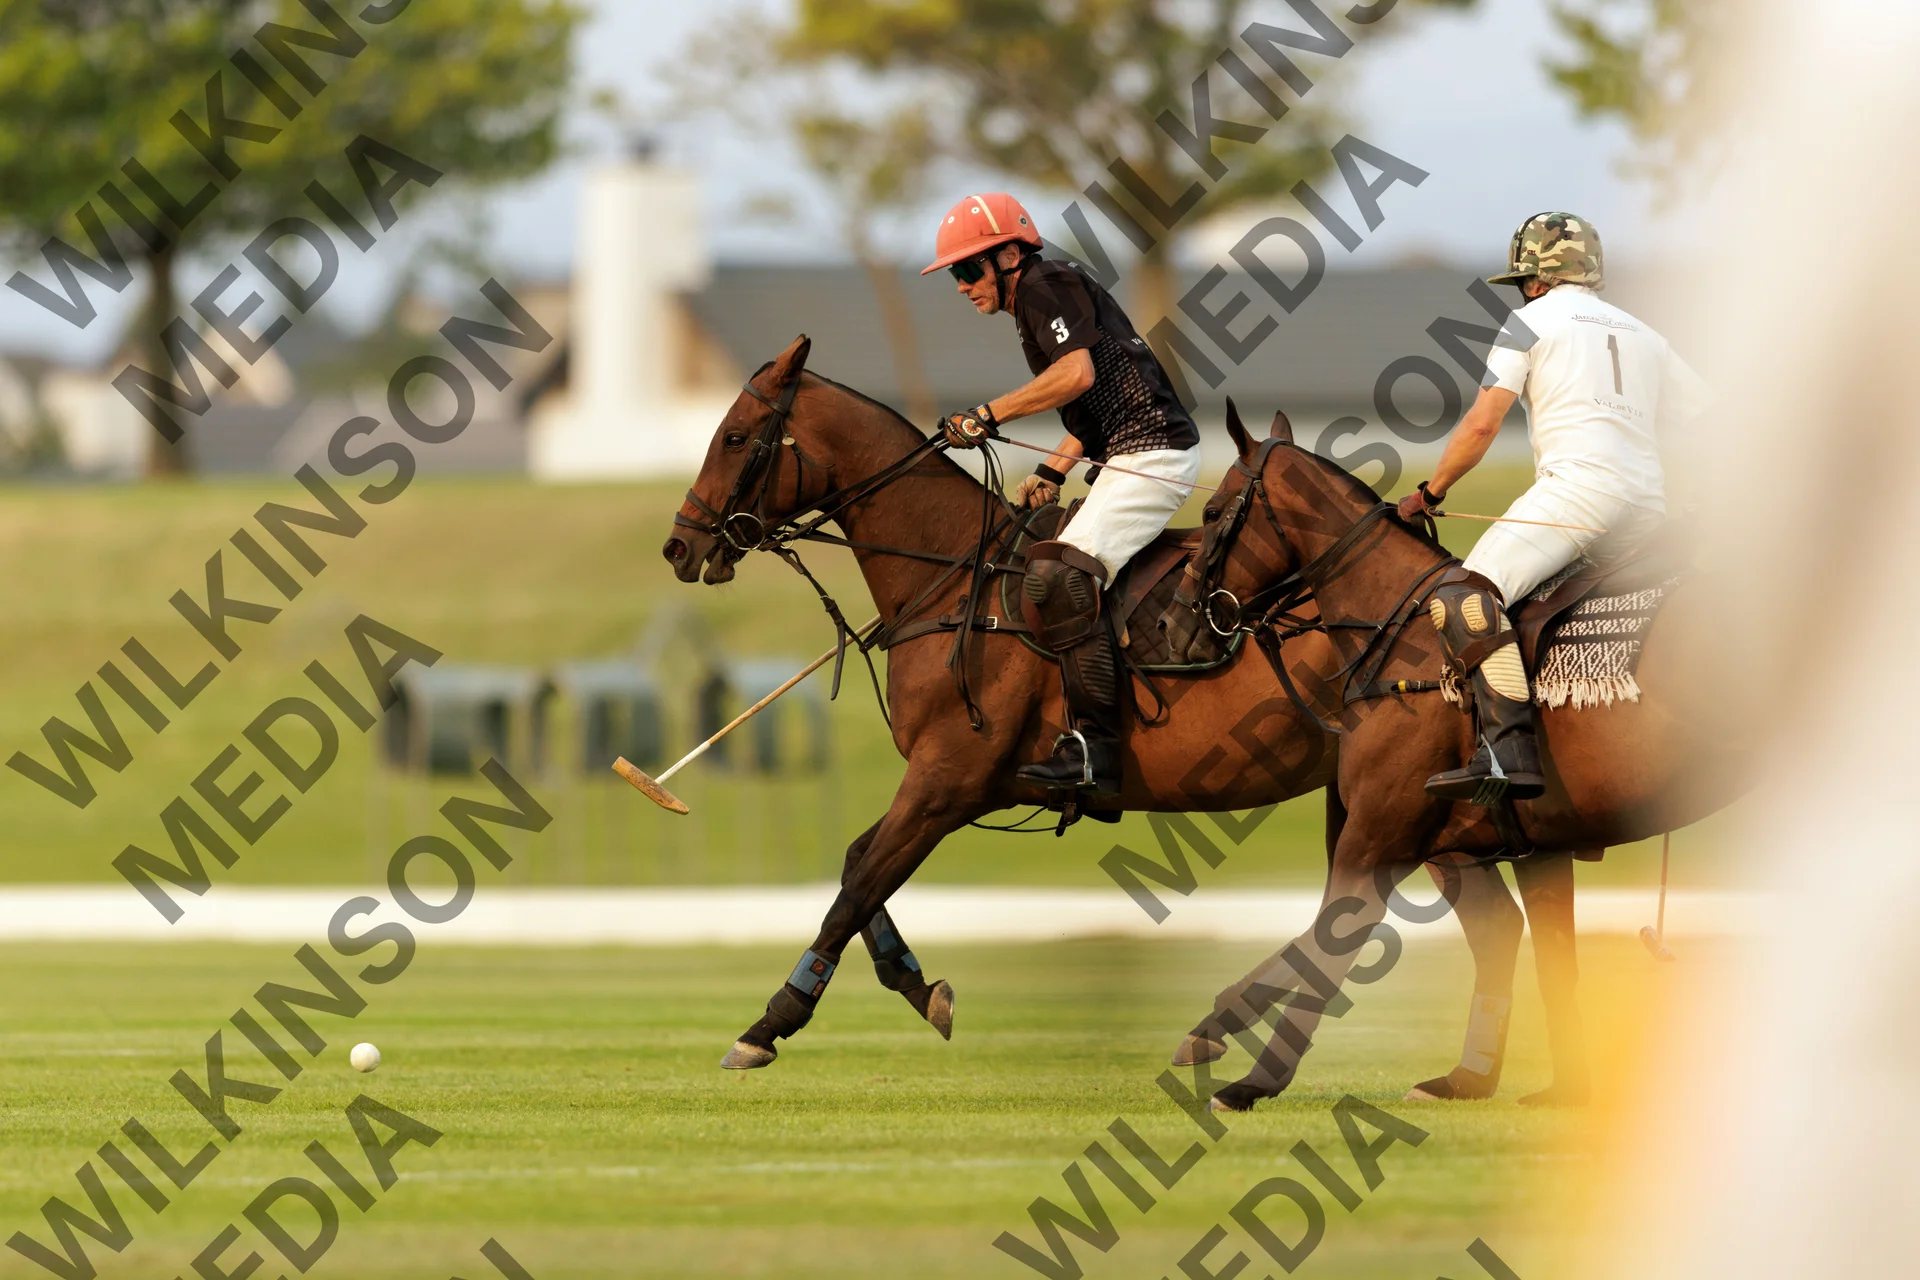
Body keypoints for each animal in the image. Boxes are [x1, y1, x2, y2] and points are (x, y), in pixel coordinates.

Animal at [660, 335, 1600, 1104]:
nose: (681, 545)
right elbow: (862, 867)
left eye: (736, 436)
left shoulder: (950, 777)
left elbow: (856, 886)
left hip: (1395, 795)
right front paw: (919, 985)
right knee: (1486, 924)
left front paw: (767, 1026)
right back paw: (1460, 1077)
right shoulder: (952, 784)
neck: (955, 577)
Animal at [1156, 412, 1750, 1111]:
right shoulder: (1523, 846)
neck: (1396, 636)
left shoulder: (1376, 837)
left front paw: (1247, 1077)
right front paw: (1540, 1086)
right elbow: (1546, 955)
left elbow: (1331, 941)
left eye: (1212, 510)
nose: (1172, 627)